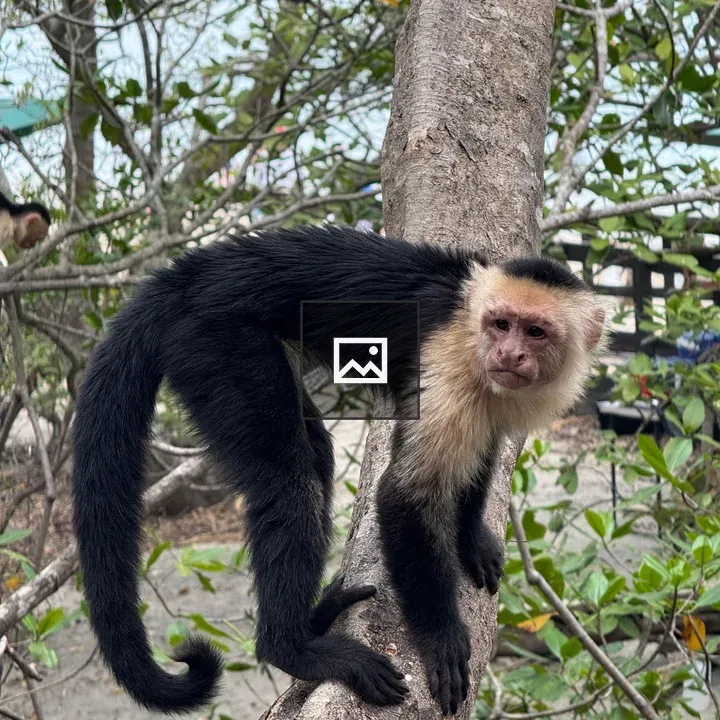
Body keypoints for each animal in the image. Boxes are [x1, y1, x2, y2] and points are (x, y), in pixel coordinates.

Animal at [71, 225, 608, 716]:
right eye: (500, 324)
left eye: (534, 332)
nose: (508, 353)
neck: (471, 323)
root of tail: (183, 275)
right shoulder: (454, 364)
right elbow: (405, 494)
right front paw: (441, 638)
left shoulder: (493, 393)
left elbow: (483, 458)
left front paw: (470, 535)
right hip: (212, 340)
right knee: (291, 479)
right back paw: (293, 647)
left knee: (315, 452)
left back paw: (316, 617)